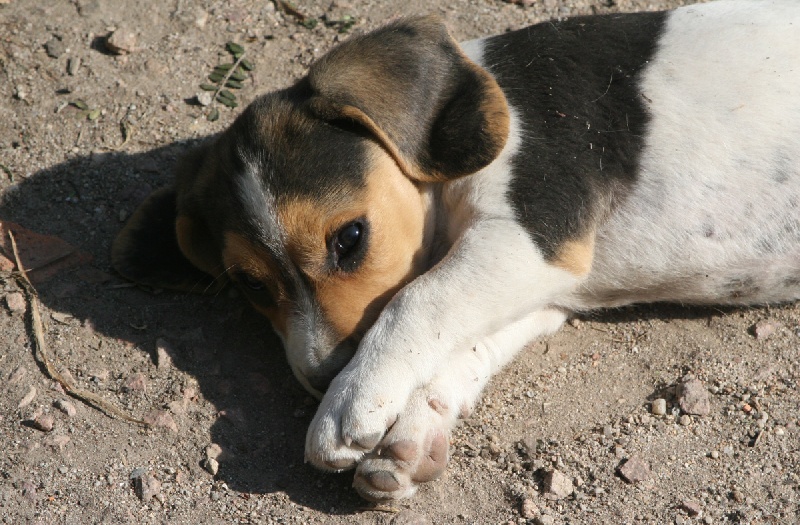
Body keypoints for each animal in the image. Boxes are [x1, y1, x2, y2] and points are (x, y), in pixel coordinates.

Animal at [112, 0, 800, 500]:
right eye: (252, 286)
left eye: (349, 240)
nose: (324, 377)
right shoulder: (547, 293)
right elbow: (461, 346)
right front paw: (409, 437)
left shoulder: (526, 241)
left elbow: (420, 299)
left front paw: (352, 405)